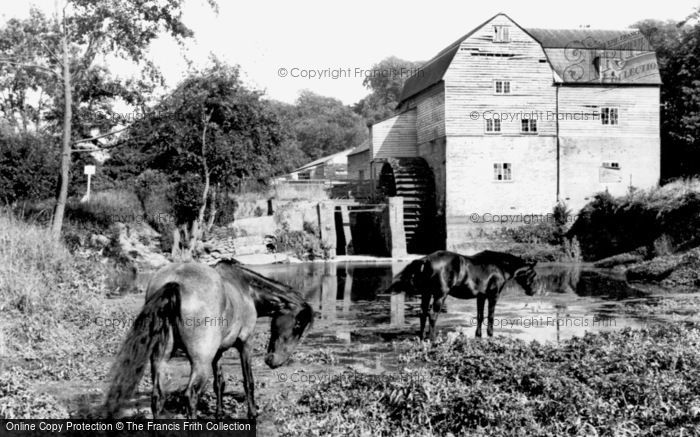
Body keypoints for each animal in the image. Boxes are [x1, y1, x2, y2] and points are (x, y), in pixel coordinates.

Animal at [104, 258, 312, 418]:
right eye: (297, 326)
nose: (274, 361)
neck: (246, 290)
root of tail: (175, 281)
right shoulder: (245, 342)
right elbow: (248, 381)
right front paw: (253, 412)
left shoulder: (217, 353)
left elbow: (219, 383)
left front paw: (219, 413)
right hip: (200, 362)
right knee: (191, 395)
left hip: (160, 359)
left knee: (158, 397)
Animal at [388, 250, 536, 338]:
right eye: (533, 274)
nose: (533, 292)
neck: (500, 266)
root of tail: (426, 260)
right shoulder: (493, 296)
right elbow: (491, 316)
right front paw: (490, 334)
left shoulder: (481, 296)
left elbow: (480, 316)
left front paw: (478, 335)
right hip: (440, 295)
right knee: (432, 315)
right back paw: (433, 339)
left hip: (427, 294)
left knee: (423, 314)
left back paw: (422, 337)